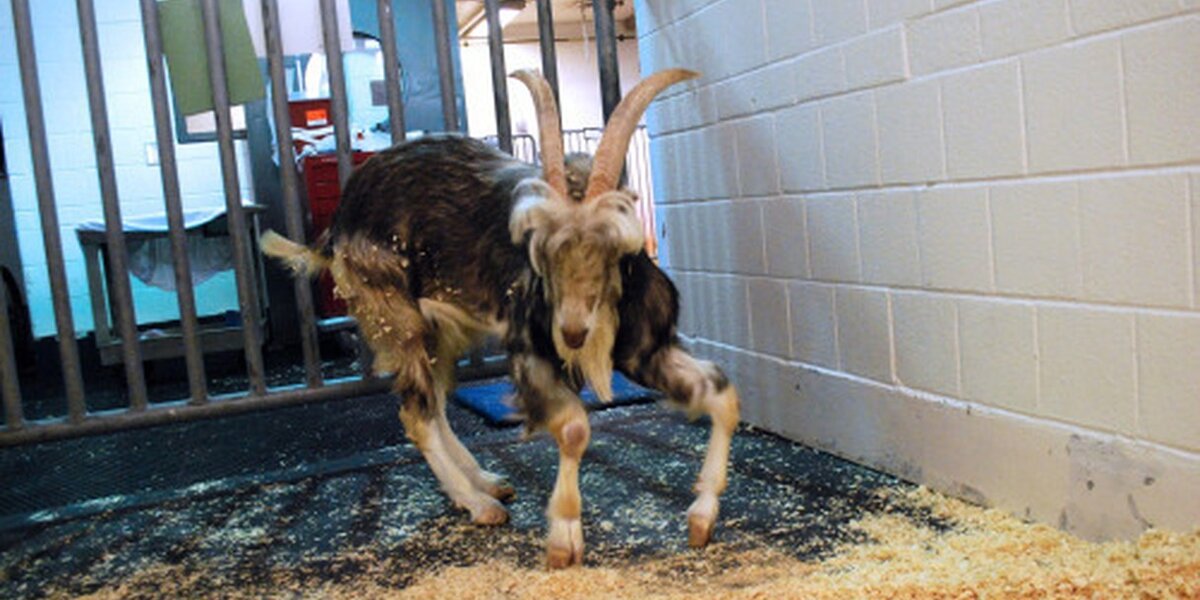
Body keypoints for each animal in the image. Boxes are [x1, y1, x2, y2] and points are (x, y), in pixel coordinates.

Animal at [260, 69, 740, 568]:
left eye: (612, 249)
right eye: (541, 250)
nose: (571, 333)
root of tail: (337, 224)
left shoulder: (647, 348)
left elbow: (723, 393)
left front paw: (702, 515)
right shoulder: (531, 350)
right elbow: (573, 428)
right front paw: (564, 539)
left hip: (441, 330)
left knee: (434, 403)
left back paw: (484, 482)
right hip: (397, 315)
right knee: (416, 413)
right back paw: (479, 504)